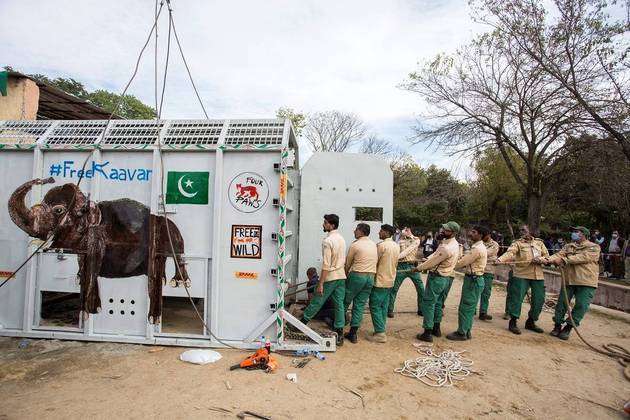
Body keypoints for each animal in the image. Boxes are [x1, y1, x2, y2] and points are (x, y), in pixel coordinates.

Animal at [8, 176, 190, 324]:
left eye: (58, 210)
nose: (48, 179)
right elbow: (86, 267)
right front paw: (91, 310)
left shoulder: (98, 240)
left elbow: (93, 267)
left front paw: (153, 319)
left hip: (173, 234)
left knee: (177, 255)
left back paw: (179, 282)